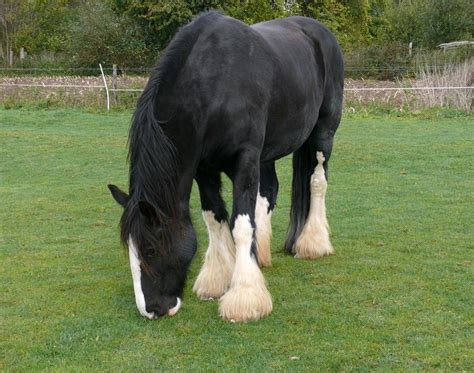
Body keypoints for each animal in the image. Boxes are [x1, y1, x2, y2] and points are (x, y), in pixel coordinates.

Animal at [109, 10, 342, 320]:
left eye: (150, 250)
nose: (151, 310)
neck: (213, 85)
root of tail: (320, 32)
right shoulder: (204, 170)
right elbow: (215, 218)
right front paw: (218, 279)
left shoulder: (244, 160)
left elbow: (240, 224)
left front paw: (245, 295)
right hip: (268, 153)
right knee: (268, 192)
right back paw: (261, 254)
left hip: (323, 134)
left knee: (317, 182)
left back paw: (312, 243)